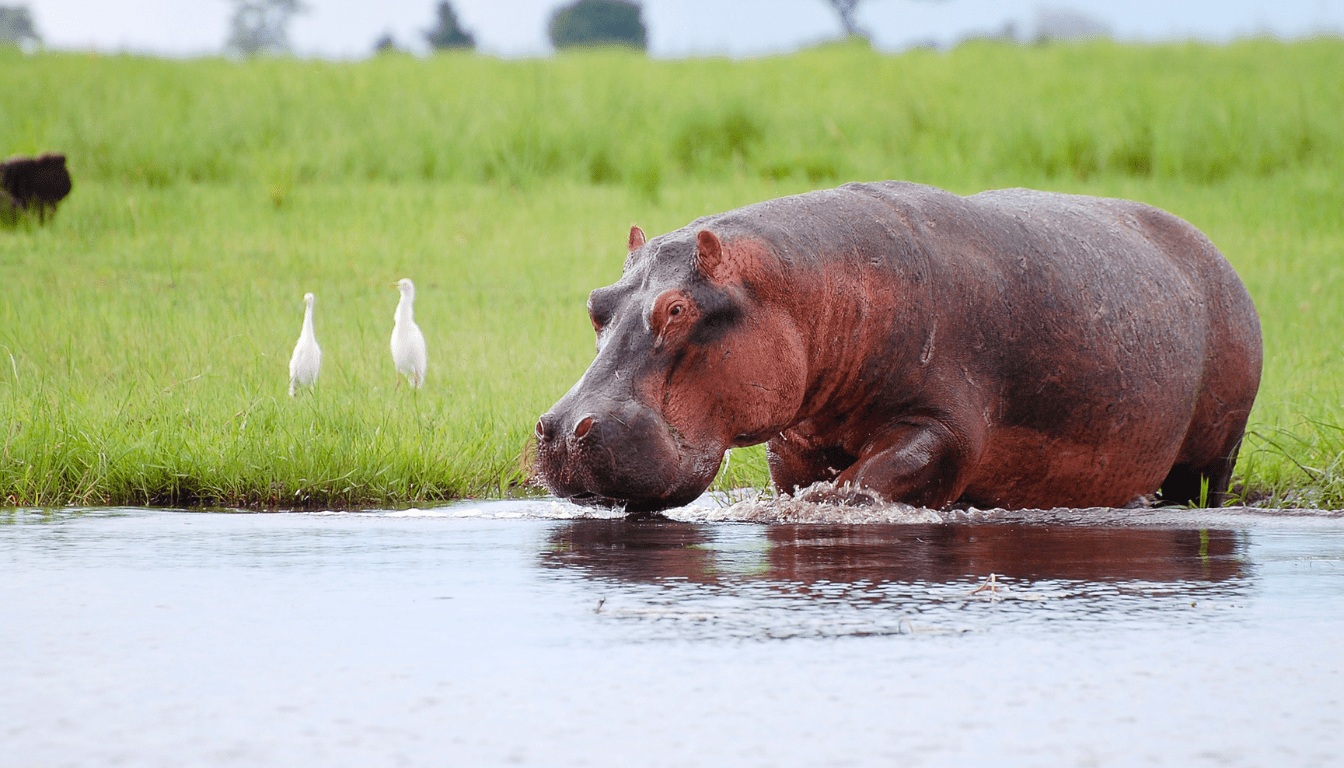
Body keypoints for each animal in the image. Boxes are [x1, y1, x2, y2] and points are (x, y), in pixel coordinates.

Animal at [532, 182, 1257, 513]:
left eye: (677, 309)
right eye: (596, 303)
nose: (565, 429)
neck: (813, 290)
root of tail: (1216, 251)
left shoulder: (945, 424)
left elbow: (871, 478)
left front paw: (825, 506)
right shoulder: (795, 437)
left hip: (1216, 445)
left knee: (1200, 488)